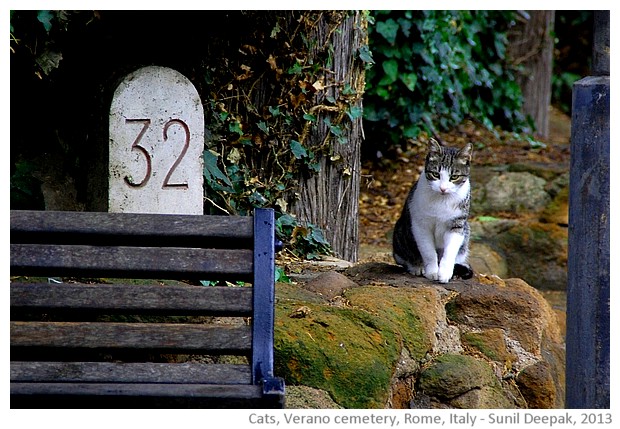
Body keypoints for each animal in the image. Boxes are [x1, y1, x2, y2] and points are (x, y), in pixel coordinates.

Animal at [392, 137, 474, 282]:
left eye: (454, 177)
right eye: (436, 174)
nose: (443, 188)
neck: (442, 200)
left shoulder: (457, 224)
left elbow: (450, 251)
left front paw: (445, 272)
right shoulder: (420, 225)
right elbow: (428, 251)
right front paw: (432, 271)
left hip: (466, 231)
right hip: (400, 233)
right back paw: (416, 266)